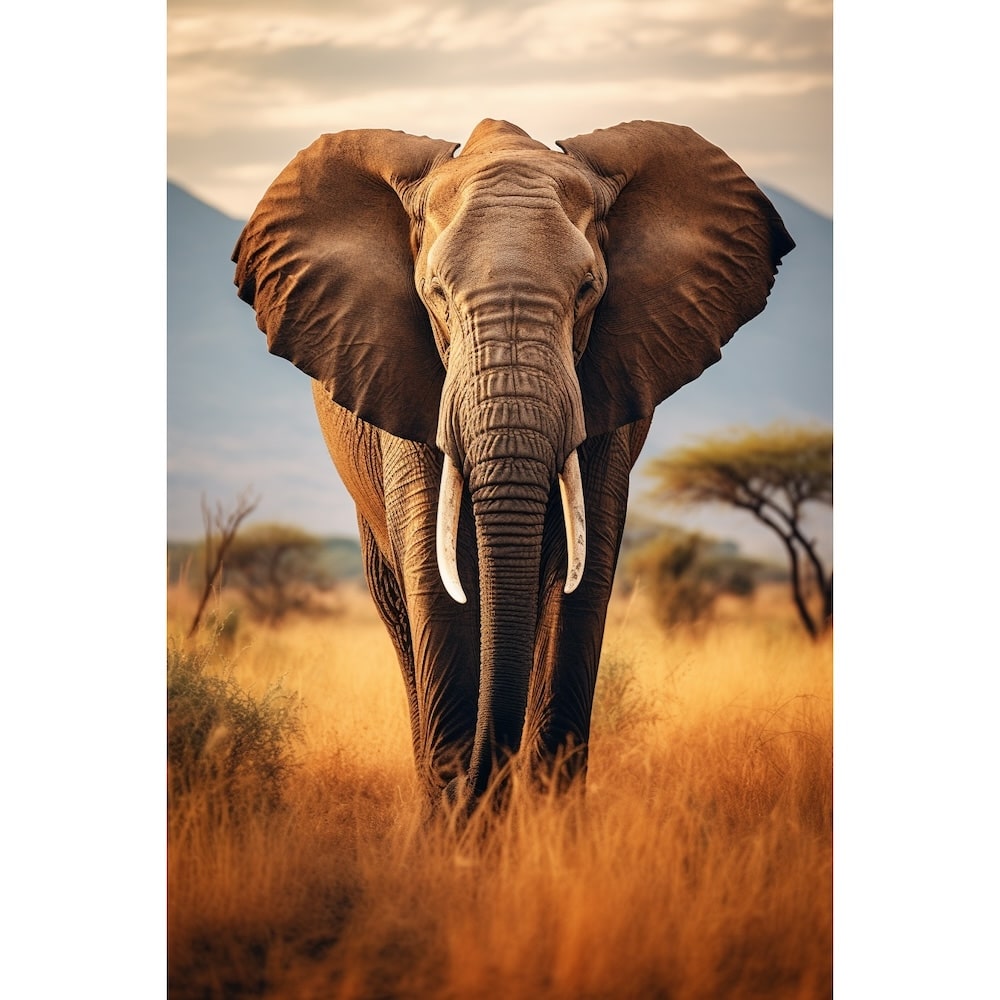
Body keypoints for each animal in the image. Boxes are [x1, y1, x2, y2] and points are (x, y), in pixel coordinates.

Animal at [232, 118, 794, 810]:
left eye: (588, 290)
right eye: (435, 294)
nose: (469, 785)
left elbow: (586, 577)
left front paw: (546, 822)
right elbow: (435, 575)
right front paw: (456, 823)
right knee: (400, 612)